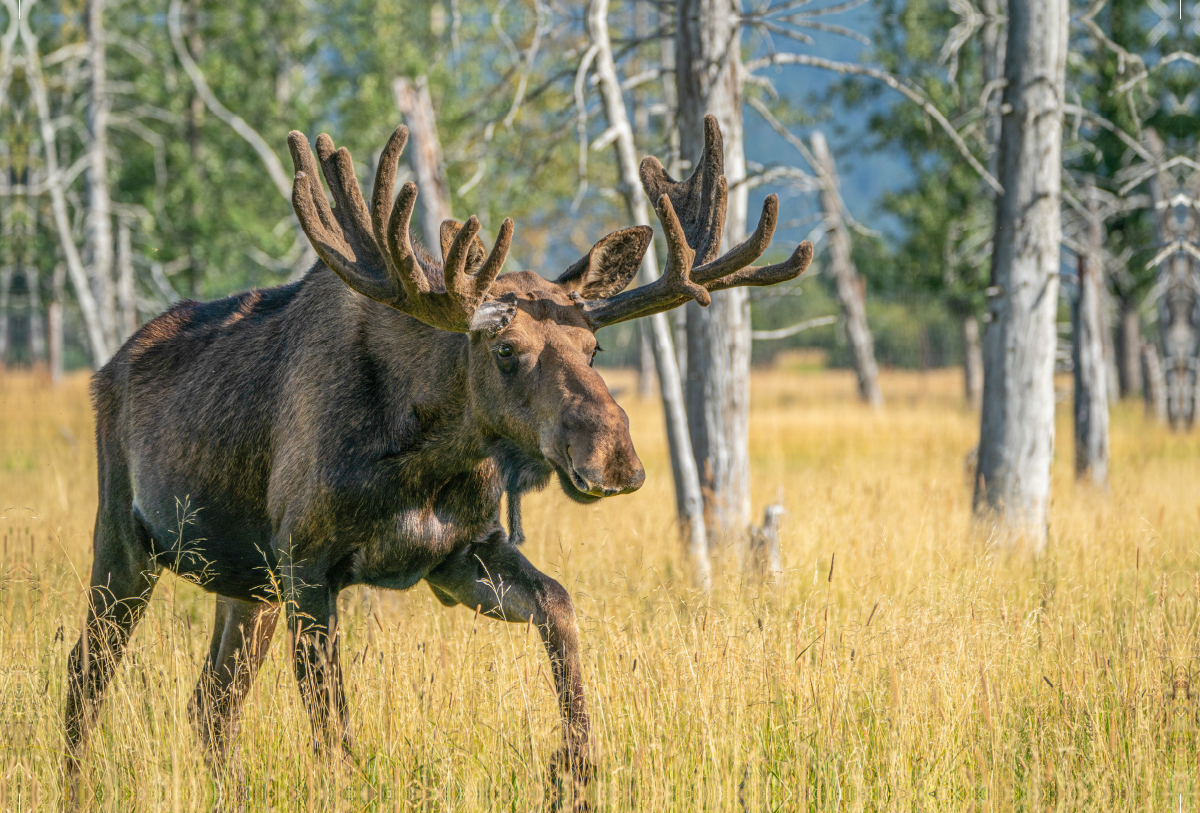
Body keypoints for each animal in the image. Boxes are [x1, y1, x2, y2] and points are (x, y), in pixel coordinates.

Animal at [65, 114, 816, 791]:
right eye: (506, 350)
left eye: (594, 347)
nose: (616, 460)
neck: (420, 462)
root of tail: (106, 369)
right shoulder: (306, 563)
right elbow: (334, 733)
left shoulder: (457, 556)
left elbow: (561, 606)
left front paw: (575, 763)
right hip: (126, 540)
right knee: (84, 677)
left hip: (245, 583)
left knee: (210, 704)